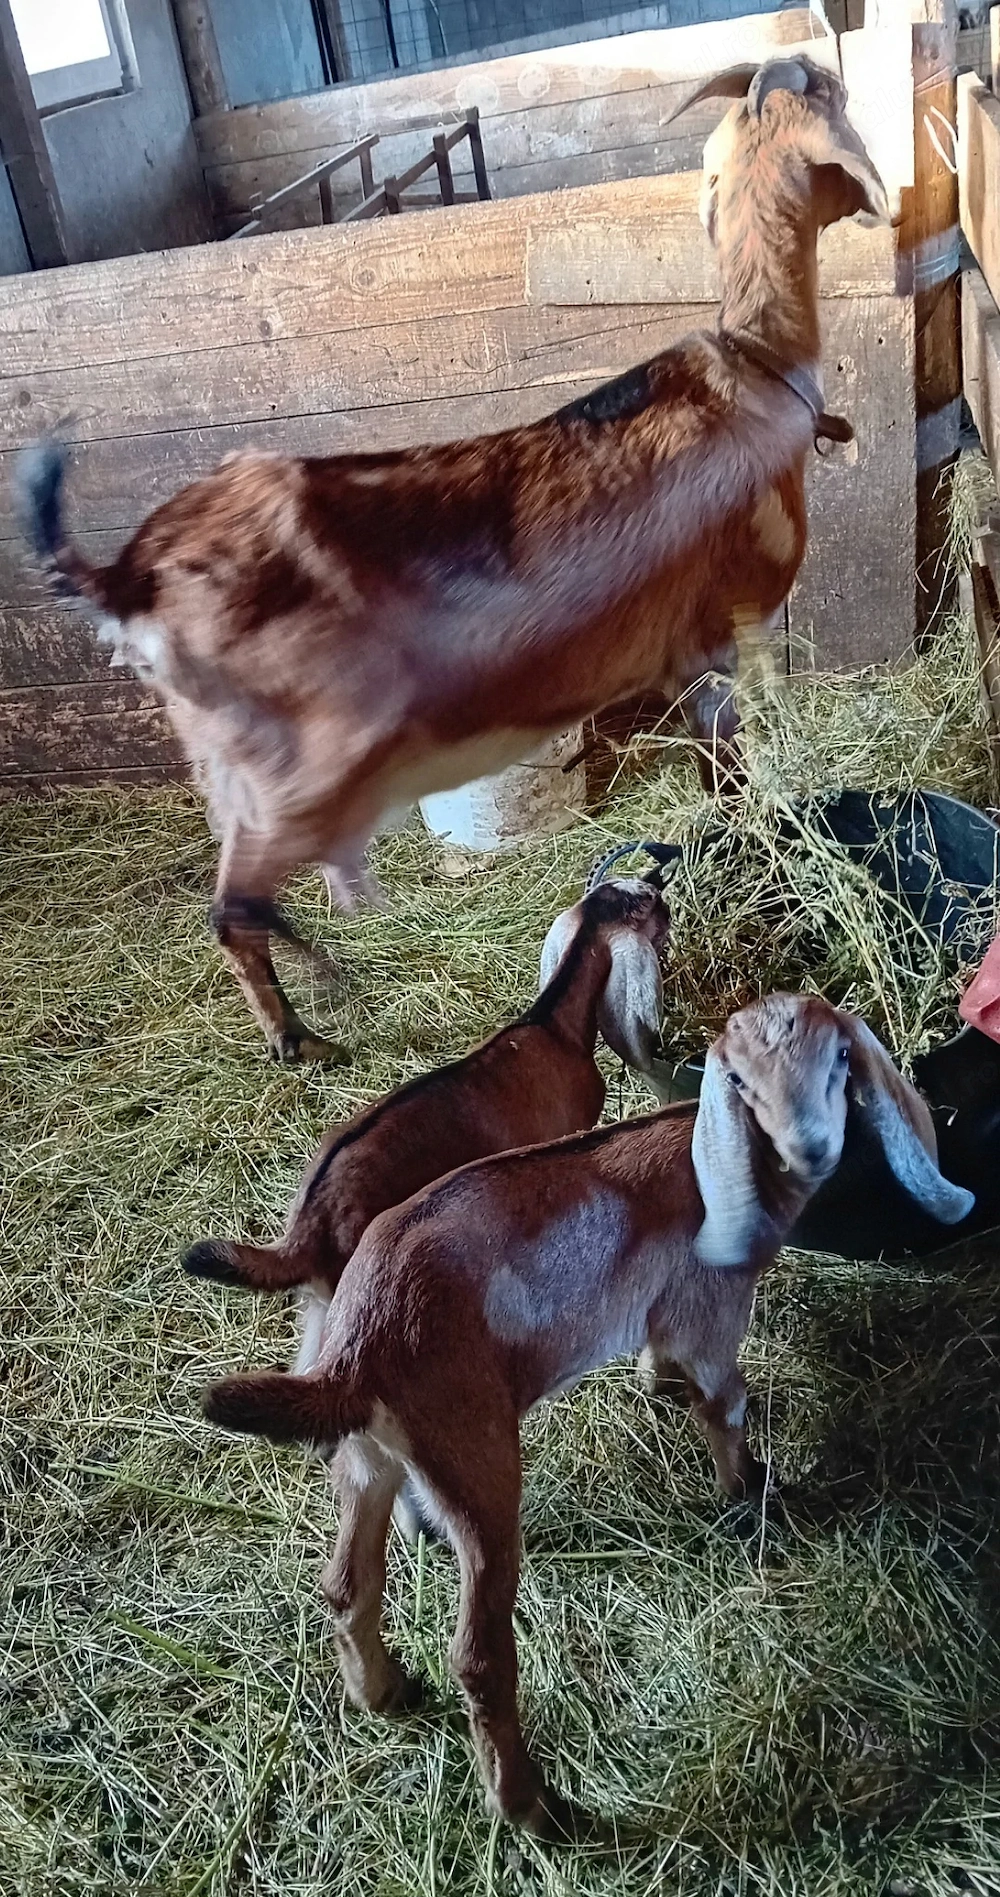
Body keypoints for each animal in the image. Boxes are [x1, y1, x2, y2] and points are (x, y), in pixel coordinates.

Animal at [16, 58, 888, 1063]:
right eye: (835, 102)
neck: (755, 363)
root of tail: (129, 573)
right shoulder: (730, 630)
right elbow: (735, 772)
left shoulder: (682, 660)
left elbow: (717, 779)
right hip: (303, 763)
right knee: (233, 906)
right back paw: (311, 1028)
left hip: (223, 761)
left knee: (238, 896)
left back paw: (315, 996)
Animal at [200, 996, 972, 1839]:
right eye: (738, 1079)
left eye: (837, 1059)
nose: (810, 1146)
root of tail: (356, 1353)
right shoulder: (712, 1310)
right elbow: (725, 1403)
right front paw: (748, 1491)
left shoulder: (665, 1307)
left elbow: (668, 1363)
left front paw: (658, 1385)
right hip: (476, 1464)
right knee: (478, 1653)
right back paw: (533, 1806)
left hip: (370, 1458)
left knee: (346, 1583)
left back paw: (384, 1691)